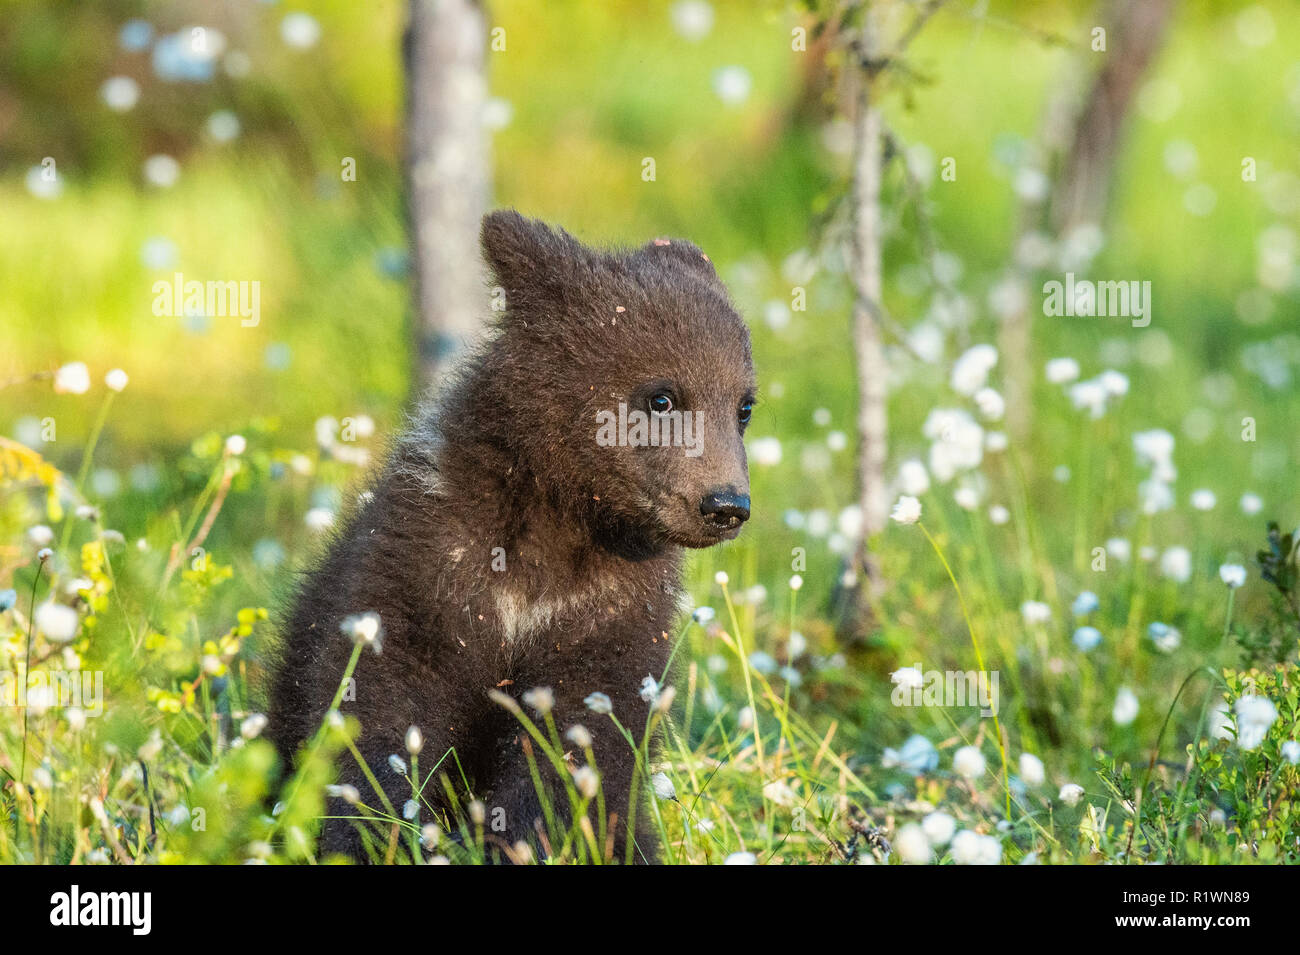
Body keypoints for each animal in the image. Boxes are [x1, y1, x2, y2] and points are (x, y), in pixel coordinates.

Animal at [268, 210, 756, 863]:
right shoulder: (427, 555)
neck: (558, 517)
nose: (726, 504)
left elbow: (579, 738)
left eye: (744, 406)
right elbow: (378, 701)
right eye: (663, 396)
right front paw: (372, 832)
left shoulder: (613, 607)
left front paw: (507, 837)